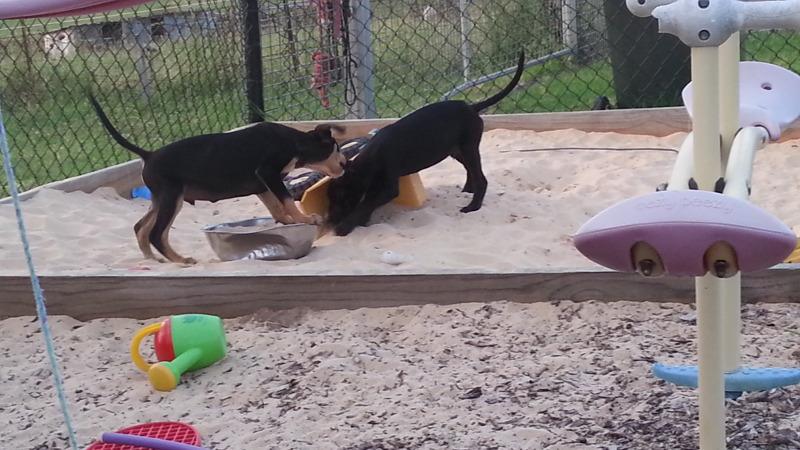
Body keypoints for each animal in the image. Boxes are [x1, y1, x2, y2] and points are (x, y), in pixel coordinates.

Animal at [89, 96, 346, 264]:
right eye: (336, 148)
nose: (344, 164)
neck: (293, 142)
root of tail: (149, 155)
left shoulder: (262, 184)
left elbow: (276, 207)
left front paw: (287, 221)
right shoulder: (268, 173)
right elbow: (286, 200)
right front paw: (304, 218)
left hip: (160, 198)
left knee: (140, 227)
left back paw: (153, 260)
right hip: (172, 198)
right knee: (156, 234)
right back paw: (181, 260)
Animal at [324, 51, 524, 237]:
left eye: (341, 195)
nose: (331, 220)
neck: (371, 158)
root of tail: (471, 107)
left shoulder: (389, 188)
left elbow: (366, 204)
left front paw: (345, 226)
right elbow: (367, 202)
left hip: (468, 148)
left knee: (481, 178)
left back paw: (473, 206)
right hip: (457, 150)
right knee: (470, 170)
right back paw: (468, 189)